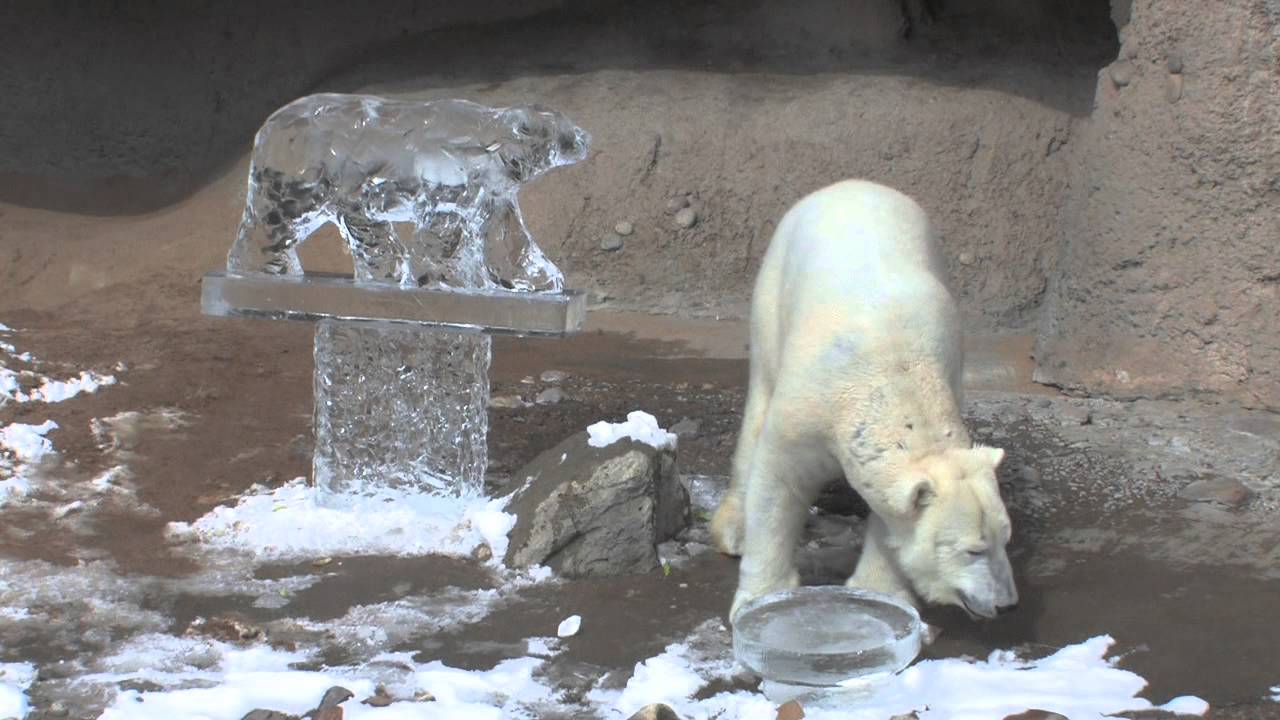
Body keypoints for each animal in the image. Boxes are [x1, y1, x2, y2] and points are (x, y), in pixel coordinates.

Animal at [709, 179, 1019, 623]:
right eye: (973, 549)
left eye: (1004, 536)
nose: (1006, 602)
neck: (896, 376)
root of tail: (850, 185)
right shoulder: (809, 407)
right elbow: (778, 482)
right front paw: (759, 596)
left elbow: (890, 519)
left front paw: (879, 591)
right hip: (772, 292)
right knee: (758, 403)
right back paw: (733, 528)